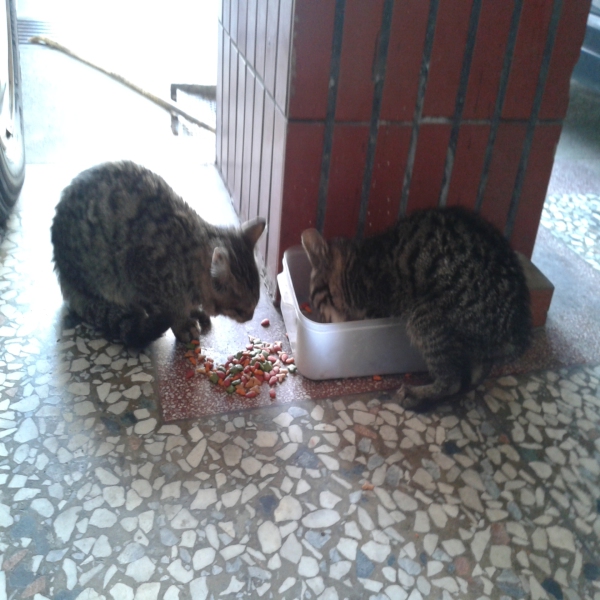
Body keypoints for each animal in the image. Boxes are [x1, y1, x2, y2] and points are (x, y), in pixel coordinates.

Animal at [51, 161, 266, 347]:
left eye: (255, 304)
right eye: (240, 310)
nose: (251, 317)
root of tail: (64, 276)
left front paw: (194, 311)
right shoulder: (137, 270)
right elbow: (171, 309)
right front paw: (182, 324)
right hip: (106, 277)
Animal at [301, 207, 532, 410]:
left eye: (322, 311)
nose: (326, 321)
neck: (358, 260)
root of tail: (519, 334)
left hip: (427, 317)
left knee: (452, 381)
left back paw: (418, 395)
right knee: (472, 378)